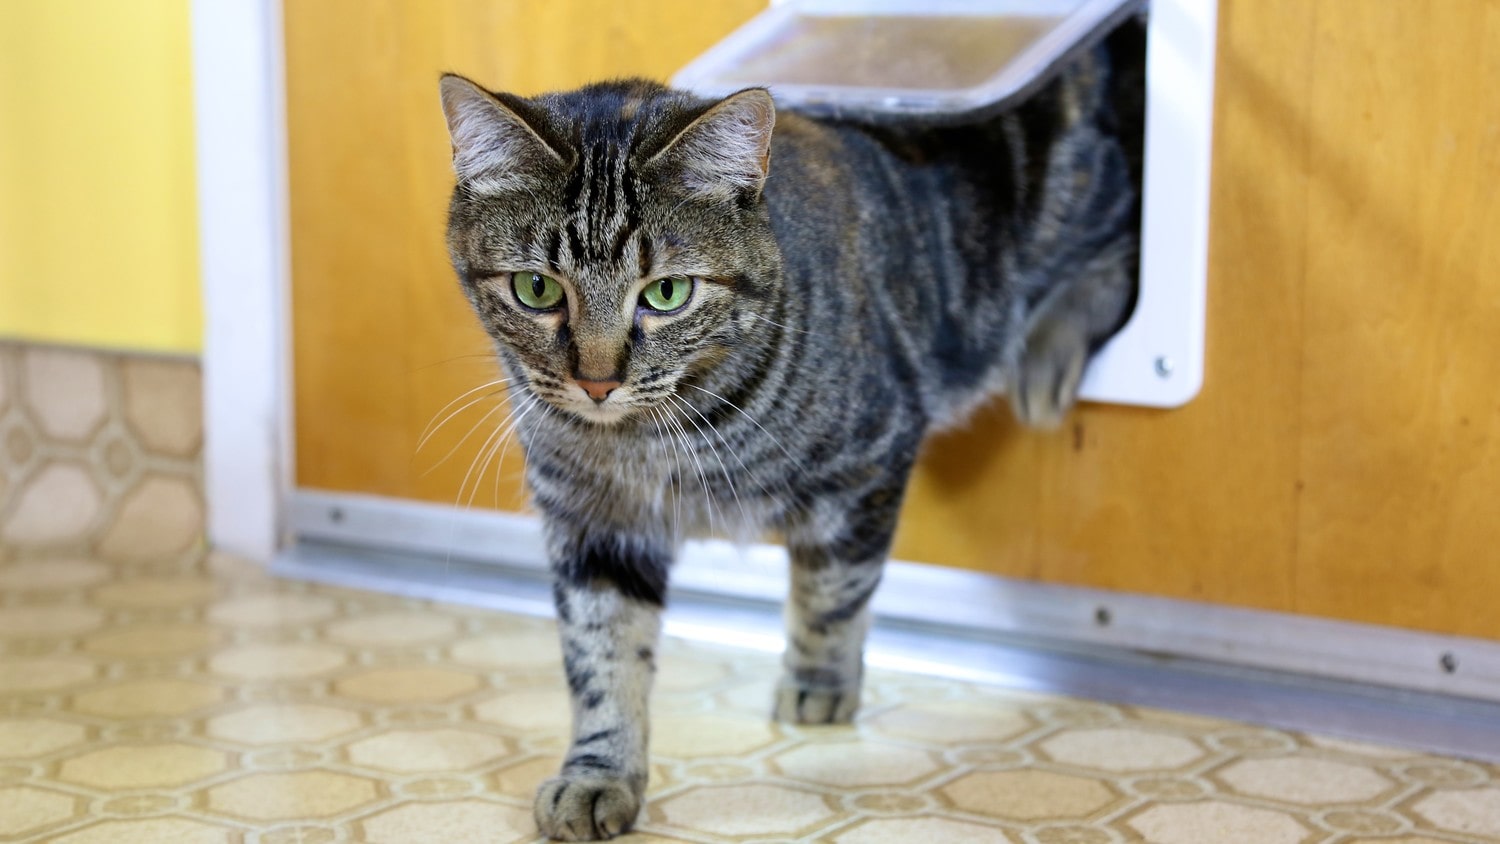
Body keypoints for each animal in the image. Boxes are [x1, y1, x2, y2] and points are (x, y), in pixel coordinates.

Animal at [438, 23, 1140, 839]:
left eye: (667, 293)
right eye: (537, 288)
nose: (598, 380)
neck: (651, 436)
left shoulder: (868, 464)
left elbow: (833, 592)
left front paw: (819, 684)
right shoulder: (594, 526)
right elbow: (601, 656)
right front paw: (598, 773)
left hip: (1074, 192)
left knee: (1125, 235)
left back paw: (1050, 351)